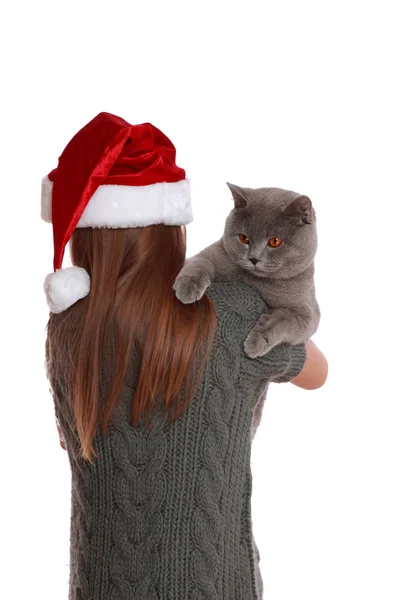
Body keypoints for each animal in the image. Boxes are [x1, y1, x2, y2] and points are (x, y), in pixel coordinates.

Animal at [173, 183, 320, 358]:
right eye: (243, 238)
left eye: (275, 241)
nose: (254, 259)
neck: (255, 280)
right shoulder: (212, 255)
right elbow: (198, 263)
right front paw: (188, 288)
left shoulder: (307, 315)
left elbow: (283, 321)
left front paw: (256, 342)